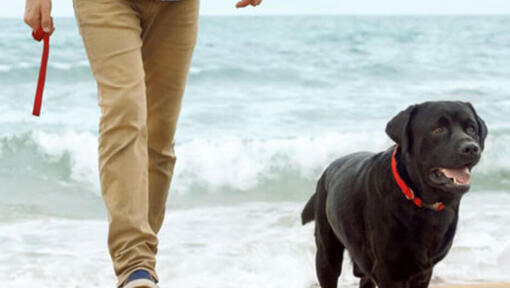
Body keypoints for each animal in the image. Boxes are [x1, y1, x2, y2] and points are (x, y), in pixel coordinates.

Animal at [300, 101, 488, 288]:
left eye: (471, 129)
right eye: (438, 130)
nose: (471, 148)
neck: (421, 202)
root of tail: (327, 171)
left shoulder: (423, 273)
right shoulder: (388, 272)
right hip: (327, 255)